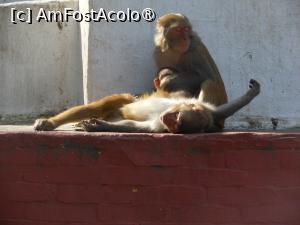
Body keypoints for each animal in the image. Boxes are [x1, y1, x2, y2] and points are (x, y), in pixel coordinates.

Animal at [78, 79, 260, 133]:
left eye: (176, 124)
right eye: (176, 116)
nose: (167, 118)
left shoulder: (160, 125)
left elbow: (135, 126)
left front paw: (100, 126)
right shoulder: (206, 109)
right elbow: (224, 110)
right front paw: (251, 94)